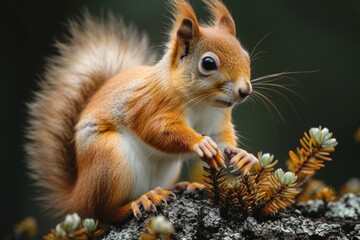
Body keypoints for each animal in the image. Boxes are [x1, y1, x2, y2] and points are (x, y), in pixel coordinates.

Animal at [26, 0, 258, 224]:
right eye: (208, 63)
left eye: (246, 56)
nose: (244, 91)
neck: (202, 103)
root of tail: (78, 199)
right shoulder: (151, 104)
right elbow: (156, 129)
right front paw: (199, 142)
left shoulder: (218, 119)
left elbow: (222, 140)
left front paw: (243, 156)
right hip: (109, 161)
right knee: (104, 213)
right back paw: (142, 200)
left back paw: (181, 187)